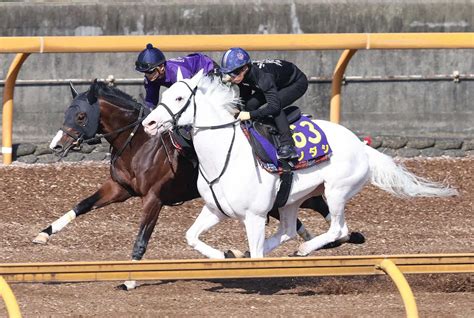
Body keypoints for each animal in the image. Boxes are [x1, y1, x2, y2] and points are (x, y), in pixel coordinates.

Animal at [33, 82, 364, 270]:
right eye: (67, 112)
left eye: (80, 115)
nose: (57, 145)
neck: (140, 143)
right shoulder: (119, 188)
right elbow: (81, 205)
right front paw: (44, 233)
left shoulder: (154, 198)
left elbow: (142, 238)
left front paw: (130, 278)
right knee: (298, 219)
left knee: (321, 208)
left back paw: (341, 238)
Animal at [142, 70, 460, 258]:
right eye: (164, 94)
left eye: (179, 97)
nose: (149, 123)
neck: (222, 157)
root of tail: (362, 146)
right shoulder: (215, 210)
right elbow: (191, 236)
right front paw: (225, 254)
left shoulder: (254, 217)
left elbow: (256, 252)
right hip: (291, 199)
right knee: (288, 230)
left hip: (336, 191)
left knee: (338, 230)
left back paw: (306, 248)